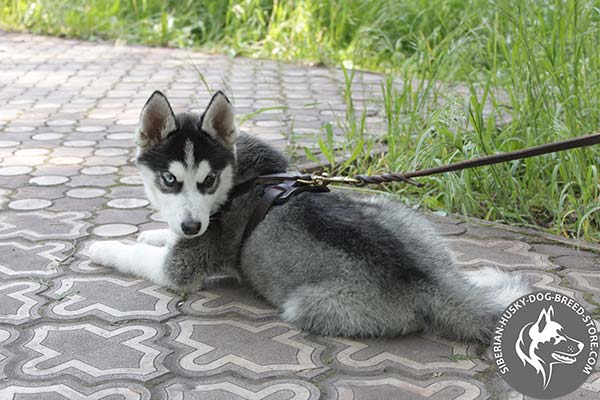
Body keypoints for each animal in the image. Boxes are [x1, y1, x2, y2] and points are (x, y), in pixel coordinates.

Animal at [90, 90, 528, 340]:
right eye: (170, 179)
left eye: (208, 180)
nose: (193, 225)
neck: (240, 179)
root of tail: (424, 278)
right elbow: (161, 236)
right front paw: (154, 232)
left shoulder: (181, 267)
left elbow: (140, 257)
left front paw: (103, 247)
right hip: (394, 212)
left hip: (306, 303)